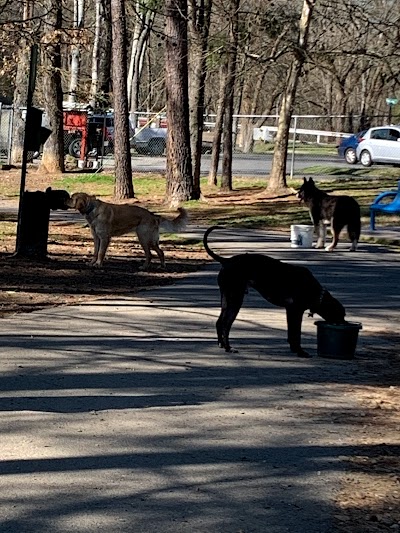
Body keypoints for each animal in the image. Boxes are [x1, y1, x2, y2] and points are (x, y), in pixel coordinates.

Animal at [205, 225, 346, 358]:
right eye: (341, 315)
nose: (344, 324)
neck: (315, 291)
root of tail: (227, 260)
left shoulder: (290, 311)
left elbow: (292, 333)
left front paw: (295, 349)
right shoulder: (296, 311)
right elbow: (296, 333)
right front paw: (300, 352)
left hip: (227, 299)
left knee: (219, 322)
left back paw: (222, 344)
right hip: (235, 299)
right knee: (226, 324)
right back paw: (228, 347)